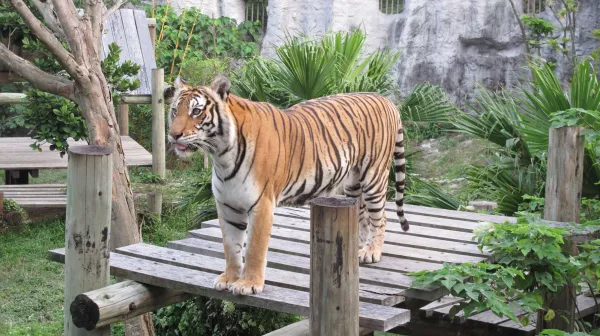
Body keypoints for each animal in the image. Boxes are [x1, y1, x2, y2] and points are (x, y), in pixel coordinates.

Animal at [164, 75, 408, 296]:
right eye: (175, 111)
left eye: (196, 111)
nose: (174, 135)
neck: (221, 155)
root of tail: (386, 100)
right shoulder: (227, 206)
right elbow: (230, 247)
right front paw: (229, 279)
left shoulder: (261, 205)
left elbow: (253, 249)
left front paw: (248, 284)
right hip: (354, 184)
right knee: (364, 217)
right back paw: (360, 248)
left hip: (374, 177)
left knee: (381, 218)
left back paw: (372, 252)